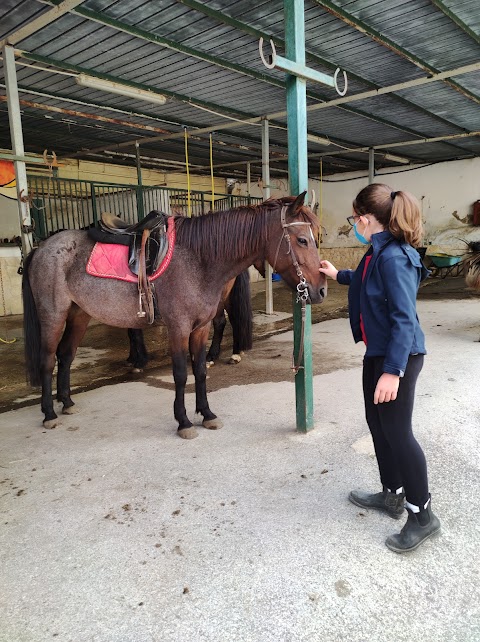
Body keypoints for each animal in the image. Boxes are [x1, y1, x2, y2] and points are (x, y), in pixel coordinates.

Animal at [125, 268, 253, 370]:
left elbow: (134, 332)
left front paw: (140, 361)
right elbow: (131, 332)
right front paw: (132, 358)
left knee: (224, 321)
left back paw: (221, 355)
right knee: (229, 321)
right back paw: (225, 354)